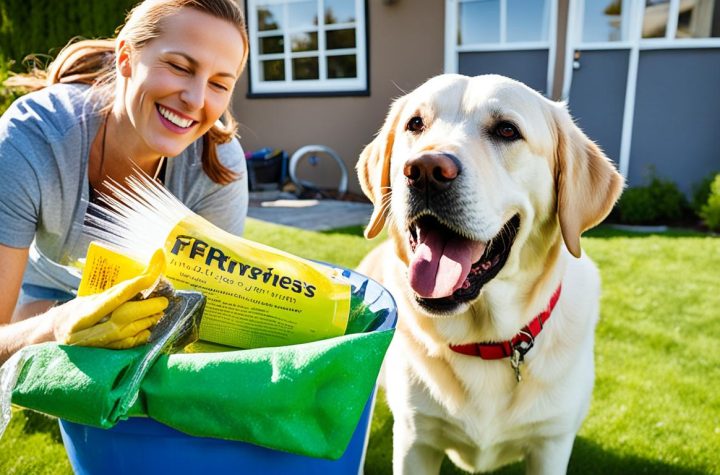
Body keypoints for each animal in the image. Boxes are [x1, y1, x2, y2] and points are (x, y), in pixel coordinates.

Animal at [358, 75, 624, 475]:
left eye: (507, 130)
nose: (425, 170)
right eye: (415, 124)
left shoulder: (551, 445)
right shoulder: (414, 442)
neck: (484, 340)